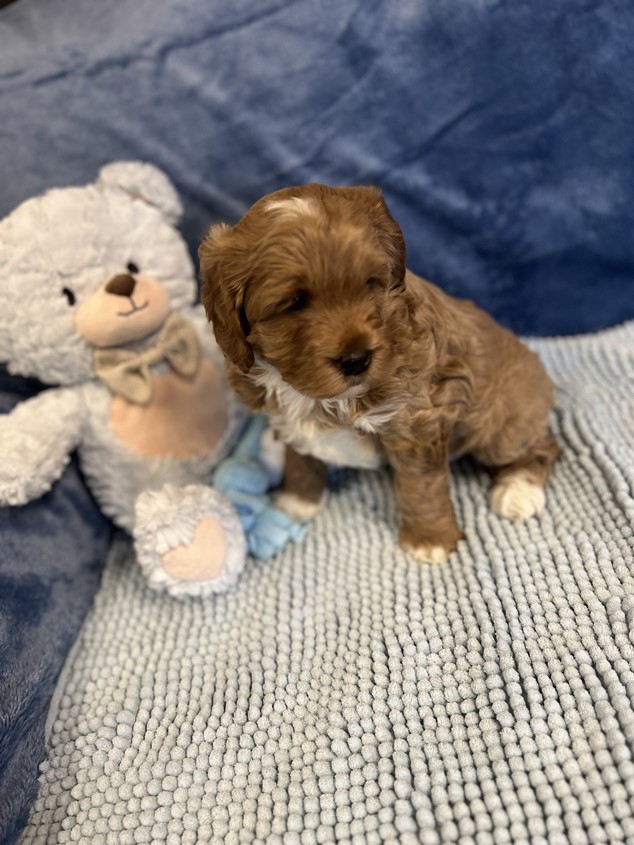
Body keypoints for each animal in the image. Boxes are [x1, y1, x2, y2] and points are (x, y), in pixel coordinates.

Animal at [199, 183, 556, 560]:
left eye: (371, 283)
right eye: (295, 302)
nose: (357, 359)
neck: (319, 397)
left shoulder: (417, 423)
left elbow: (421, 486)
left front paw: (429, 540)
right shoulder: (287, 419)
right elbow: (301, 460)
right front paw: (297, 503)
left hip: (500, 426)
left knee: (544, 447)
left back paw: (518, 491)